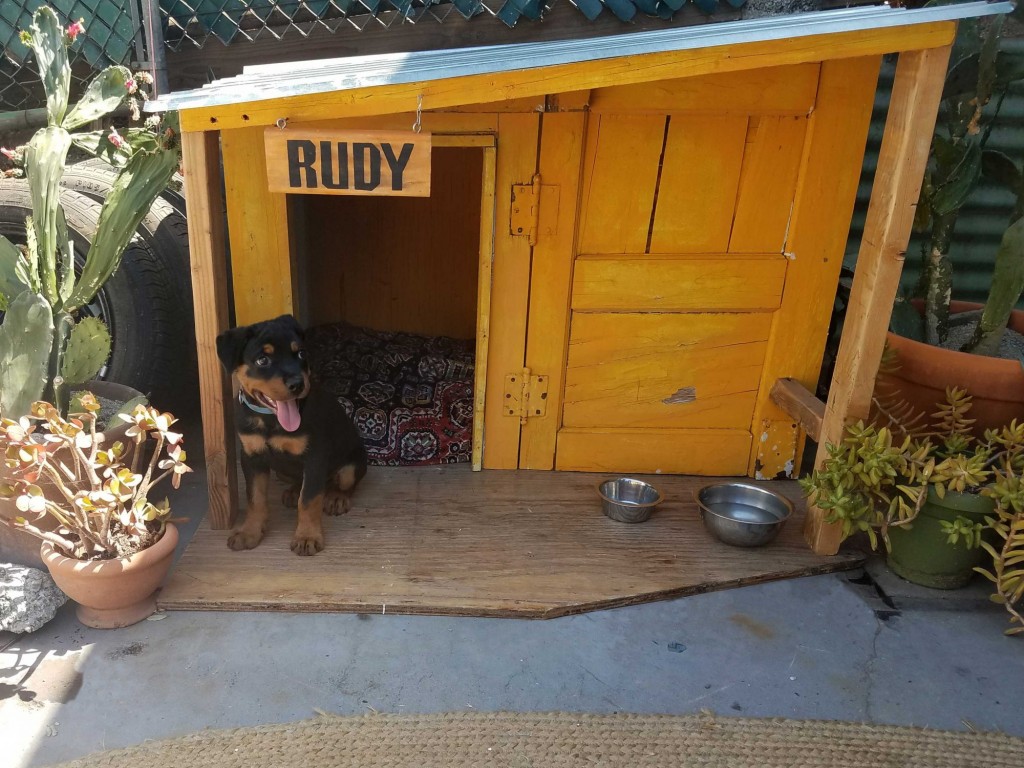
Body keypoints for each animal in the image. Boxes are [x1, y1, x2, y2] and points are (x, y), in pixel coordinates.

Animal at [214, 315, 366, 557]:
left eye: (301, 354)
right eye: (262, 360)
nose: (298, 384)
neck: (270, 420)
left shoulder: (315, 457)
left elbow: (309, 499)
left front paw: (307, 537)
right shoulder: (252, 457)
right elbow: (255, 498)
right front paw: (249, 533)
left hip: (351, 465)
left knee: (343, 482)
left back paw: (336, 497)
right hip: (282, 471)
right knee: (298, 480)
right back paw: (294, 491)